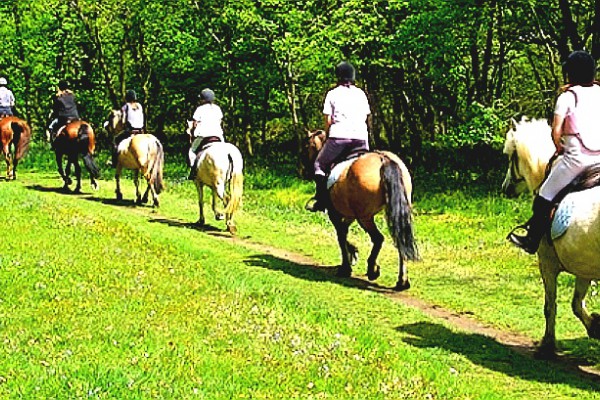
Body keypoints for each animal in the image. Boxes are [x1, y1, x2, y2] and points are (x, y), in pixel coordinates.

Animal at [308, 131, 420, 290]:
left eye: (309, 146)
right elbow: (343, 232)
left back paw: (372, 270)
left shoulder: (335, 213)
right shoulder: (350, 214)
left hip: (365, 218)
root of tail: (383, 159)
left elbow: (340, 235)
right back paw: (402, 282)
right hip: (393, 212)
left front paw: (346, 266)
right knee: (399, 240)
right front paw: (353, 253)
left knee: (378, 238)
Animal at [502, 117, 600, 358]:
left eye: (510, 156)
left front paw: (547, 345)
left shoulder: (546, 263)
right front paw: (595, 326)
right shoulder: (584, 267)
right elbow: (577, 304)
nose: (505, 188)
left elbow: (550, 306)